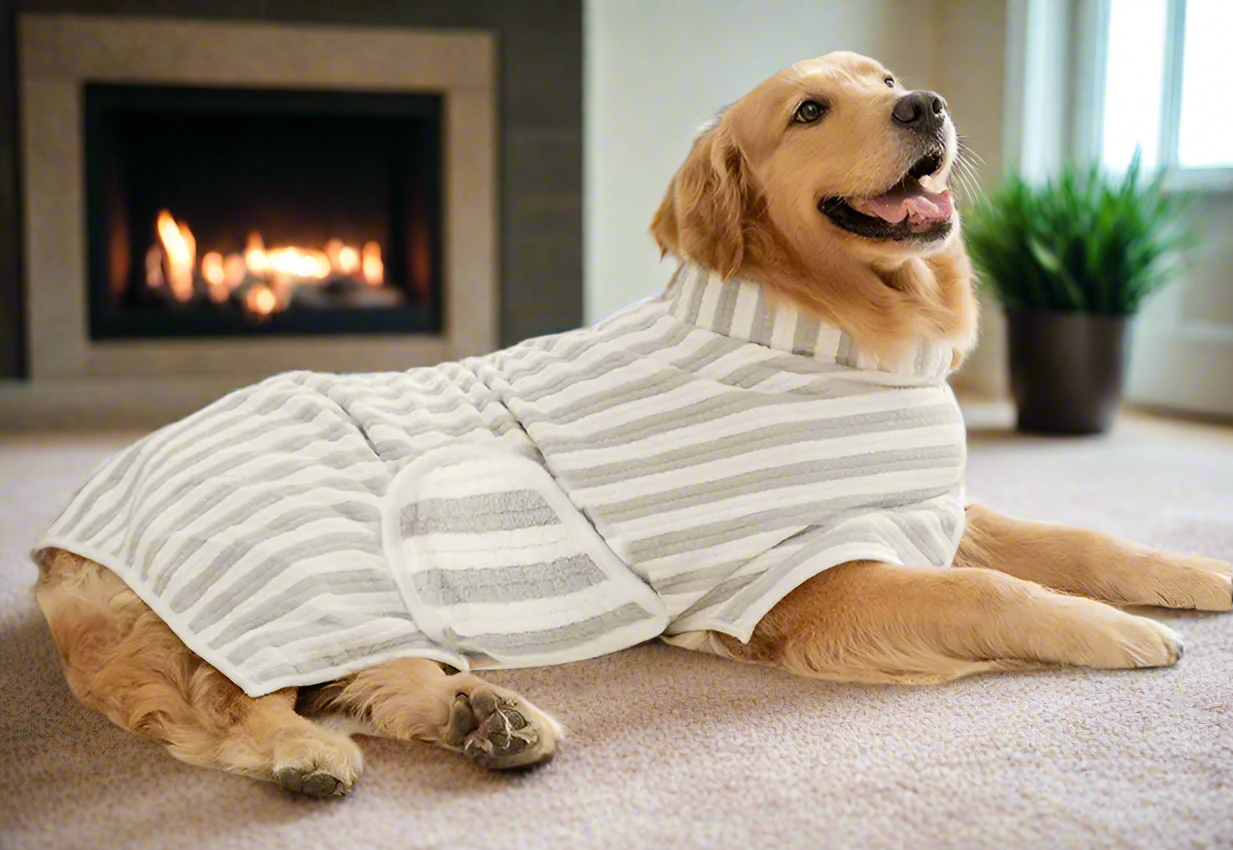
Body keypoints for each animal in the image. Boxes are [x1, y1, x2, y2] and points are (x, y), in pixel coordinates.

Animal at [33, 53, 1228, 794]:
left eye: (885, 83)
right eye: (807, 112)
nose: (924, 105)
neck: (825, 327)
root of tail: (67, 531)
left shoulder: (927, 506)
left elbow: (1079, 539)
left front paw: (1193, 576)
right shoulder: (809, 581)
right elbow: (994, 591)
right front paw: (1120, 631)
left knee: (373, 683)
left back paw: (490, 721)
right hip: (302, 568)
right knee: (230, 699)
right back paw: (304, 756)